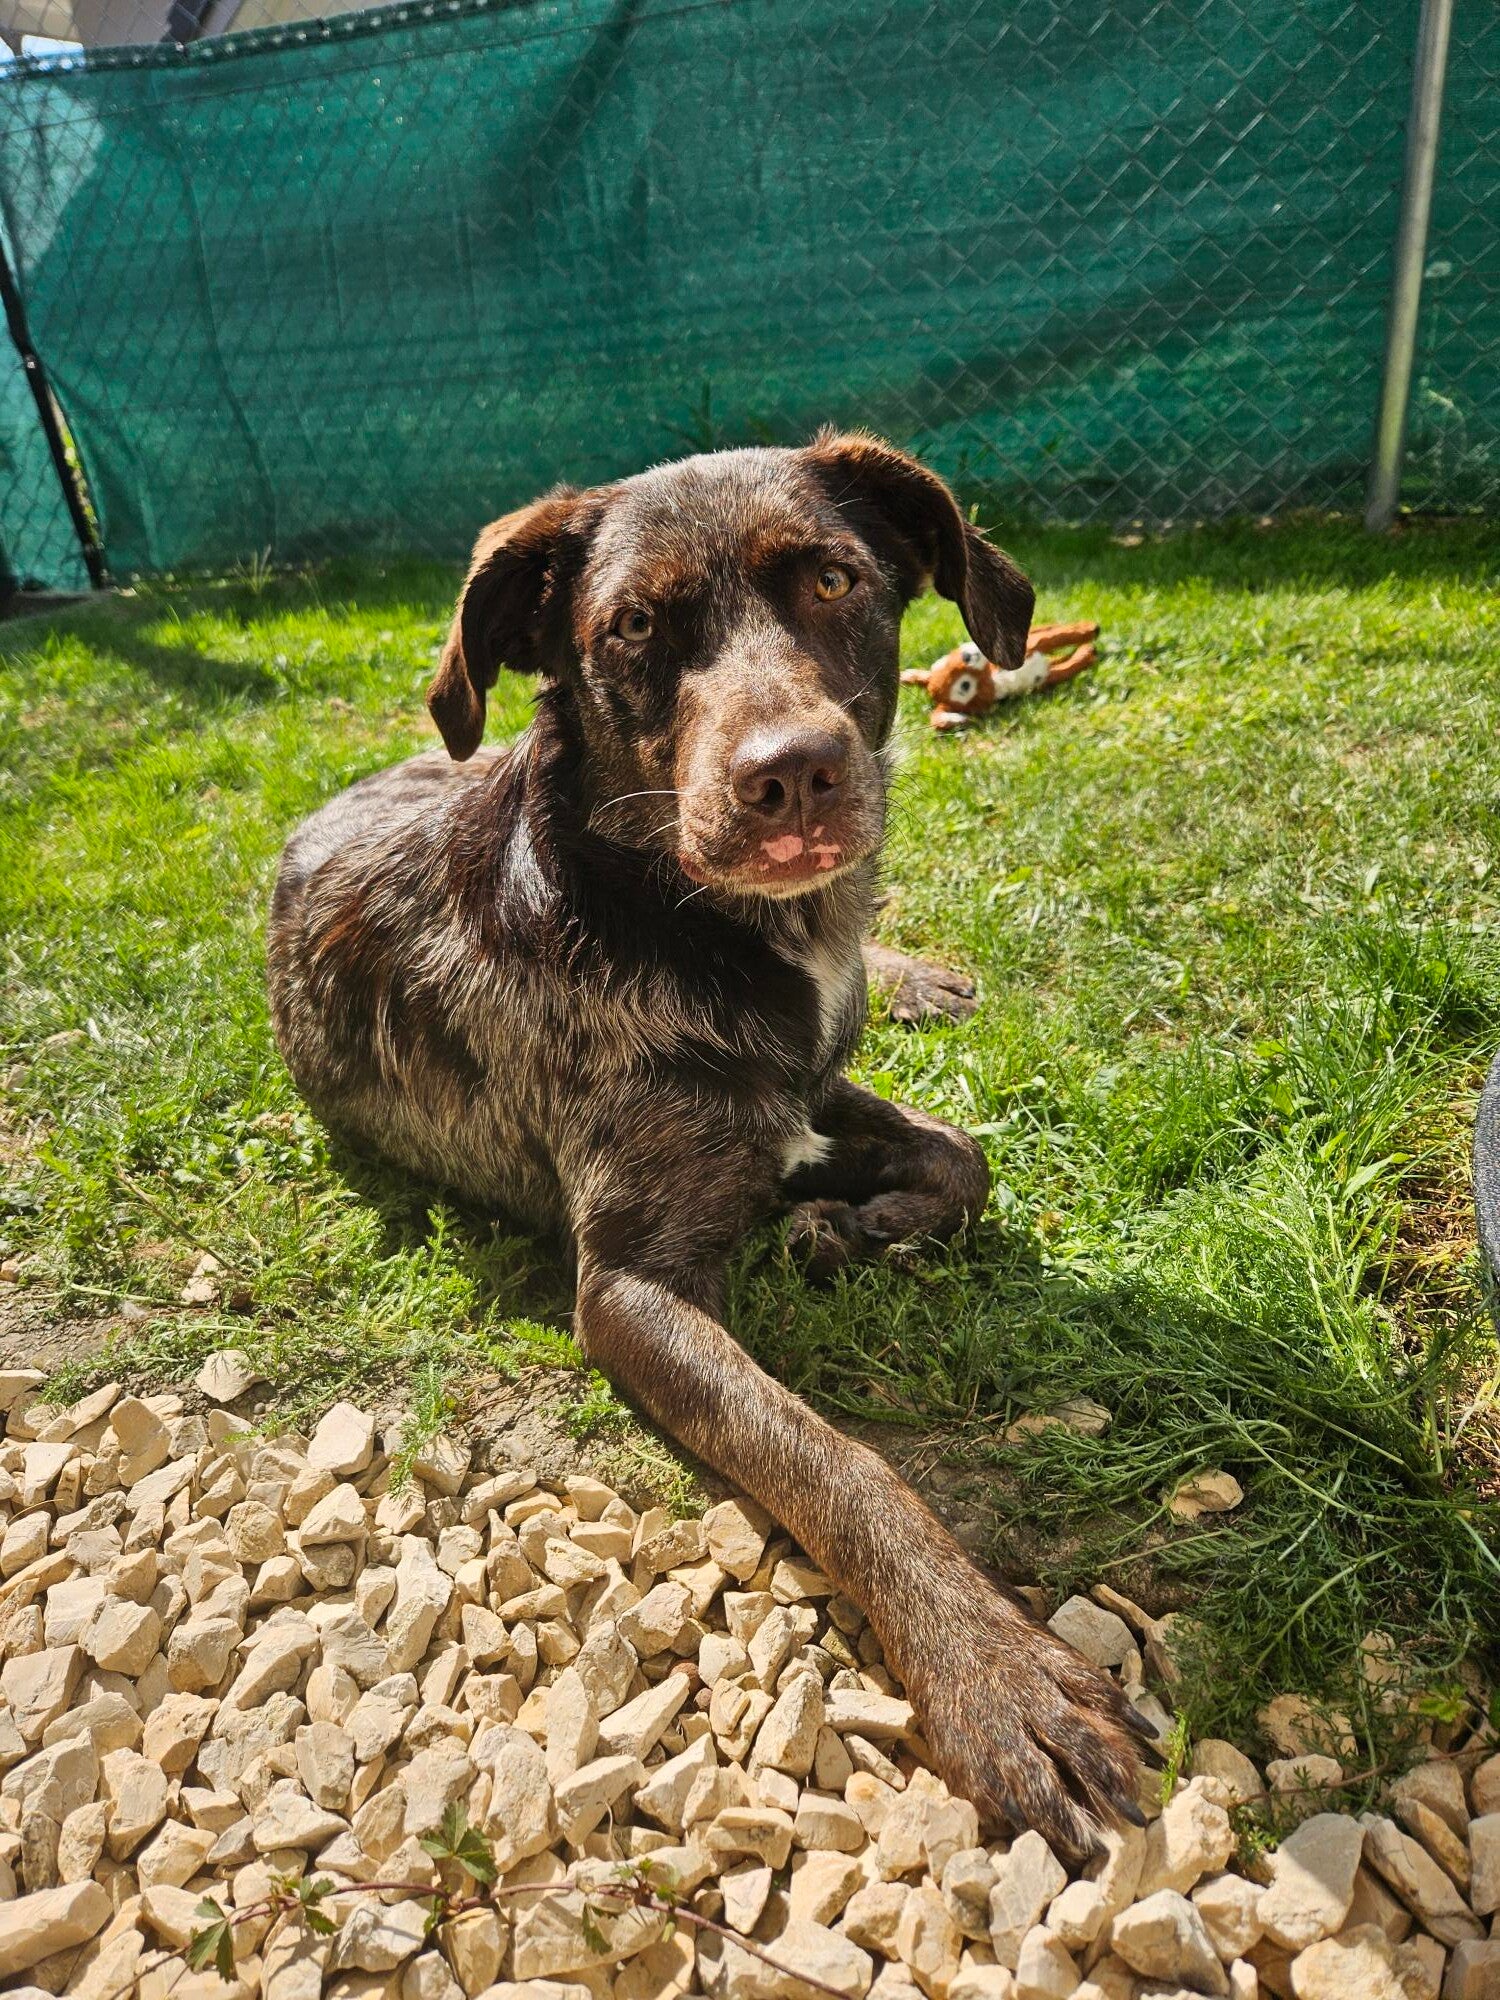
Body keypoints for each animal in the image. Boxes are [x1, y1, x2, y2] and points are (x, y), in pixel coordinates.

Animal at [267, 430, 1149, 1854]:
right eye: (630, 625)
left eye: (836, 578)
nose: (790, 773)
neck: (700, 922)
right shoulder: (634, 1283)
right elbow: (835, 1459)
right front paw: (997, 1675)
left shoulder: (809, 1087)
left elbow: (961, 1153)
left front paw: (864, 1224)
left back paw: (913, 978)